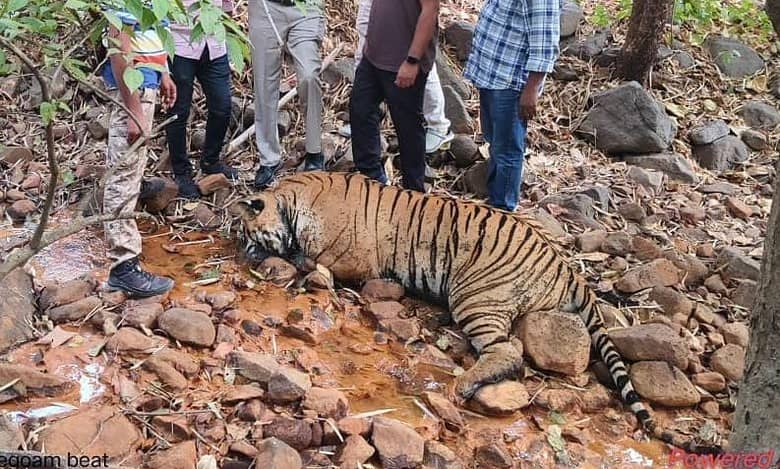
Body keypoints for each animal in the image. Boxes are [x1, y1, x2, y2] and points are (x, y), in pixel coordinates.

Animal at [235, 171, 693, 449]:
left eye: (248, 234)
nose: (244, 252)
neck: (297, 198)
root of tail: (566, 264)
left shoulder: (353, 261)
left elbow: (311, 260)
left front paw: (292, 260)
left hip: (474, 296)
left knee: (509, 351)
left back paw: (464, 385)